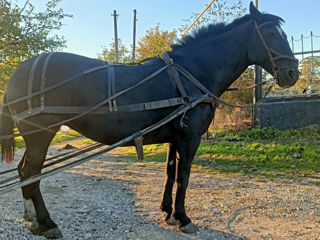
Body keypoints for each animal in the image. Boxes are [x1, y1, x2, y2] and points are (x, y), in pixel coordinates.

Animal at [0, 3, 300, 238]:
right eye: (270, 33)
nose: (292, 74)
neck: (192, 72)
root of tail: (18, 70)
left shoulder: (174, 136)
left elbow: (170, 173)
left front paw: (167, 211)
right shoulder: (190, 138)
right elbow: (184, 176)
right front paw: (183, 218)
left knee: (24, 172)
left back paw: (31, 217)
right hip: (40, 133)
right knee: (31, 173)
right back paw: (46, 223)